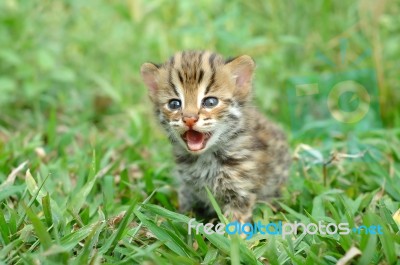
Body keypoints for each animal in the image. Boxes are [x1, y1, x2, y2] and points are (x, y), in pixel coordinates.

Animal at [141, 50, 290, 221]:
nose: (189, 119)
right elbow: (185, 214)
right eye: (174, 104)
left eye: (210, 102)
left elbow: (233, 222)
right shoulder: (188, 190)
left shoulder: (240, 192)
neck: (204, 159)